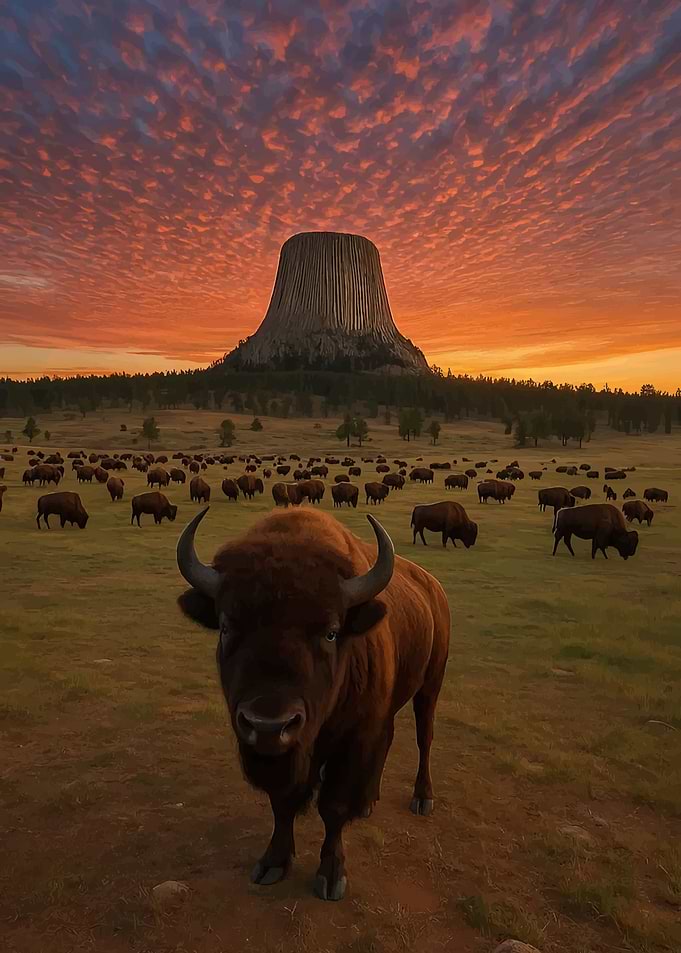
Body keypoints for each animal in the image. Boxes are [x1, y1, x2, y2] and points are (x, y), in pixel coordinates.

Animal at [175, 508, 450, 900]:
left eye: (331, 632)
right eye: (226, 627)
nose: (268, 724)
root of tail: (433, 587)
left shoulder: (350, 742)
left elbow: (333, 807)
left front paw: (331, 875)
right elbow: (282, 802)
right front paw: (273, 863)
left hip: (430, 685)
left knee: (423, 738)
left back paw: (422, 799)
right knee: (389, 738)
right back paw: (369, 801)